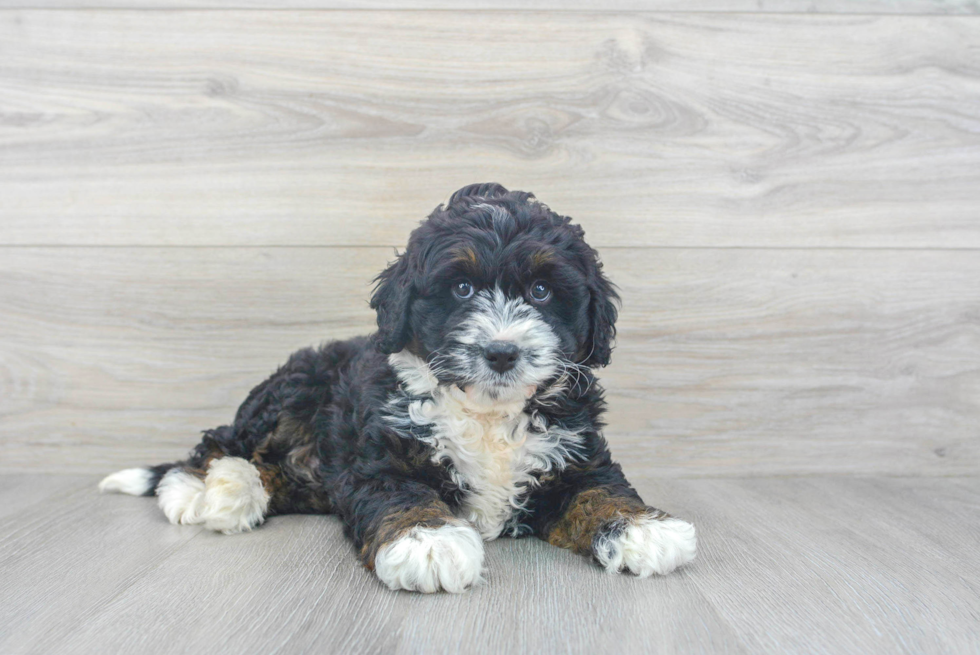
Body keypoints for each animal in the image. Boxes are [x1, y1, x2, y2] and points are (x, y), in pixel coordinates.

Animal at [99, 183, 696, 596]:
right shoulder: (378, 456)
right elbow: (402, 494)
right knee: (222, 441)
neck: (486, 413)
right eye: (462, 288)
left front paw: (643, 528)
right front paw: (428, 541)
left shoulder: (574, 453)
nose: (502, 353)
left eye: (543, 292)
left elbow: (599, 489)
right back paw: (202, 490)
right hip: (295, 389)